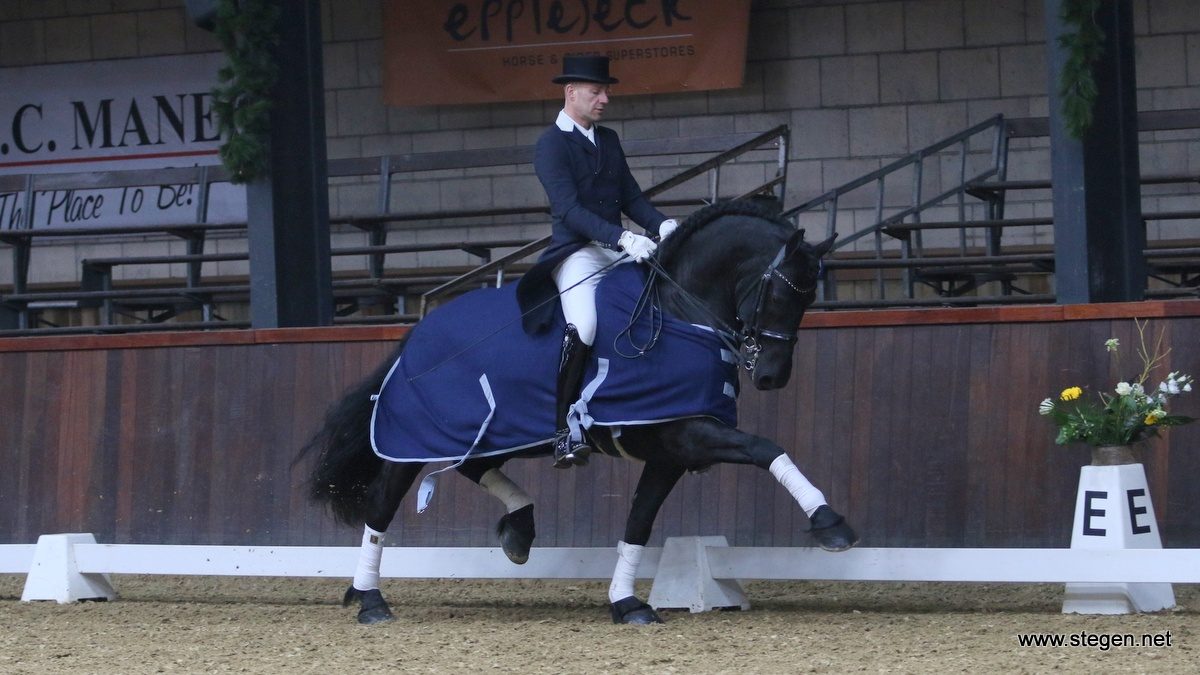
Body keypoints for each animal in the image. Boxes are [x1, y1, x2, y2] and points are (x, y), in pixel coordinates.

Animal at [304, 196, 859, 624]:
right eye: (780, 290)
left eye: (810, 296)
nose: (771, 376)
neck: (677, 312)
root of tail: (413, 336)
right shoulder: (690, 433)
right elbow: (767, 448)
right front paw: (831, 523)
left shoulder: (669, 452)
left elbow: (639, 523)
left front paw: (627, 603)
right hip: (413, 440)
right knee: (382, 504)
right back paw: (371, 600)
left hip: (487, 433)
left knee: (475, 468)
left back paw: (519, 529)